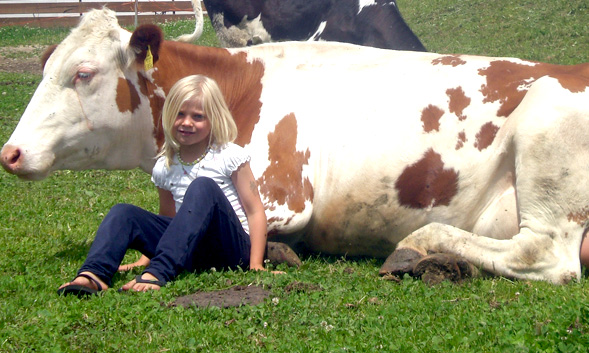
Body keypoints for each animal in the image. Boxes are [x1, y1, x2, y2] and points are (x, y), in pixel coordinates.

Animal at [1, 8, 588, 284]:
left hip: (546, 136)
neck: (238, 89)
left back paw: (418, 248)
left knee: (546, 254)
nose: (11, 152)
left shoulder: (285, 198)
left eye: (83, 73)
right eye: (46, 67)